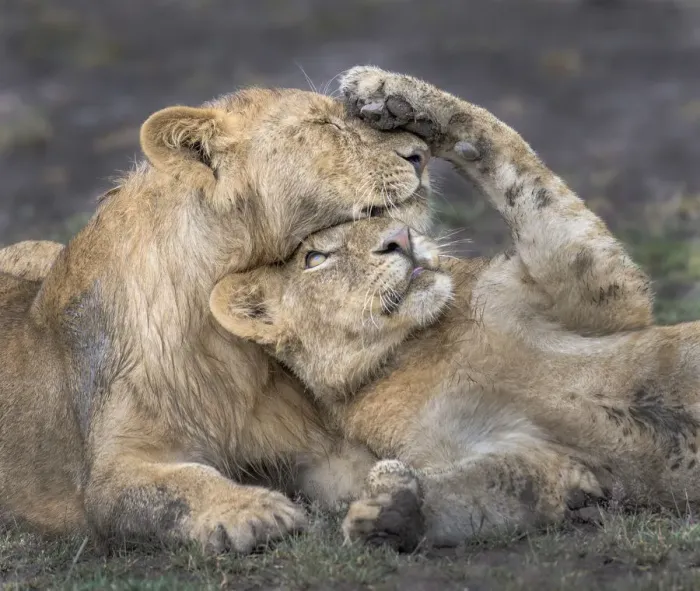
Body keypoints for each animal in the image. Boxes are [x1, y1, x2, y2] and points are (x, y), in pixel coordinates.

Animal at [0, 84, 437, 552]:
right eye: (322, 124)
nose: (422, 154)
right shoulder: (110, 474)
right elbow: (181, 484)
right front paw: (254, 509)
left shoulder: (317, 445)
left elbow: (371, 466)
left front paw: (392, 497)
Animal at [210, 67, 700, 551]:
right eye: (315, 258)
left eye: (387, 216)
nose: (401, 238)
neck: (410, 349)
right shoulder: (556, 464)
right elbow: (494, 489)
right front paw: (391, 510)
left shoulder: (598, 288)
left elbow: (514, 164)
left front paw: (390, 95)